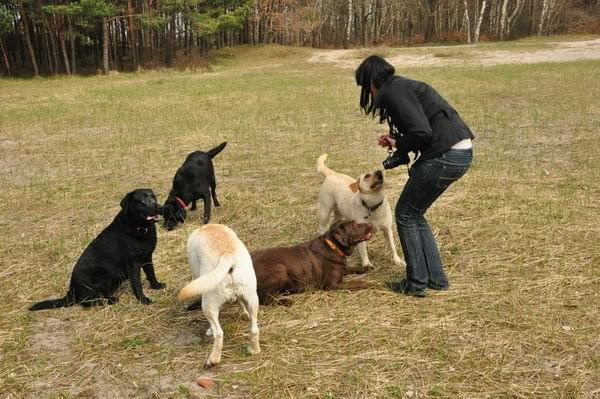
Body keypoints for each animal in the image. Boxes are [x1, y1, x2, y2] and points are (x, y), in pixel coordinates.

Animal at [30, 189, 165, 310]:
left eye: (154, 197)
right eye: (142, 201)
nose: (161, 208)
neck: (140, 228)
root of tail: (71, 290)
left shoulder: (147, 257)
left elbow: (151, 273)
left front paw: (156, 286)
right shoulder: (134, 264)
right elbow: (137, 285)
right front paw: (143, 300)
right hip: (102, 275)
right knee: (86, 301)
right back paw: (110, 300)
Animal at [176, 225, 260, 368]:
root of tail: (227, 255)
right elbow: (240, 302)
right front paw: (243, 313)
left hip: (208, 305)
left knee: (219, 333)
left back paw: (214, 359)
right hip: (252, 299)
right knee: (254, 329)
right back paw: (254, 349)